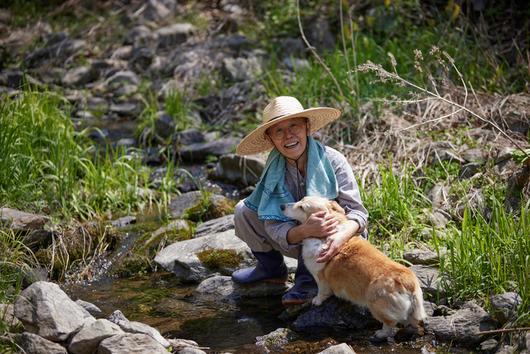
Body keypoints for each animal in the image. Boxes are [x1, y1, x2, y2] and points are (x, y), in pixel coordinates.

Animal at [280, 196, 424, 340]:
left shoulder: (320, 277)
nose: (281, 206)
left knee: (389, 324)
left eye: (302, 207)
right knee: (413, 321)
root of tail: (408, 283)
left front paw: (316, 301)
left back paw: (380, 334)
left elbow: (322, 292)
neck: (325, 235)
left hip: (375, 303)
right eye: (301, 199)